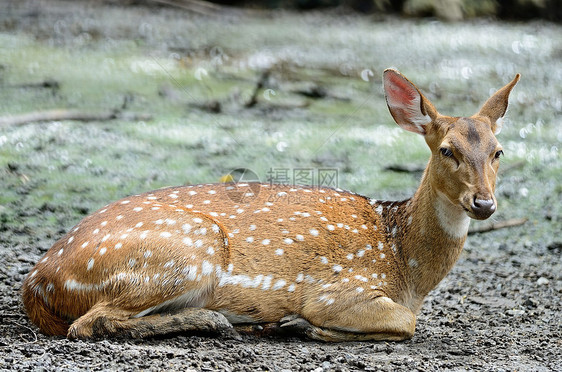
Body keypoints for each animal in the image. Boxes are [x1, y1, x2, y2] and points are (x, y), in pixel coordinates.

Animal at [23, 68, 520, 342]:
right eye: (447, 150)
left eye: (498, 151)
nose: (483, 203)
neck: (405, 266)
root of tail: (38, 282)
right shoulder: (337, 289)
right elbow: (406, 323)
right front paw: (299, 325)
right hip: (187, 250)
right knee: (90, 323)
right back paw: (217, 320)